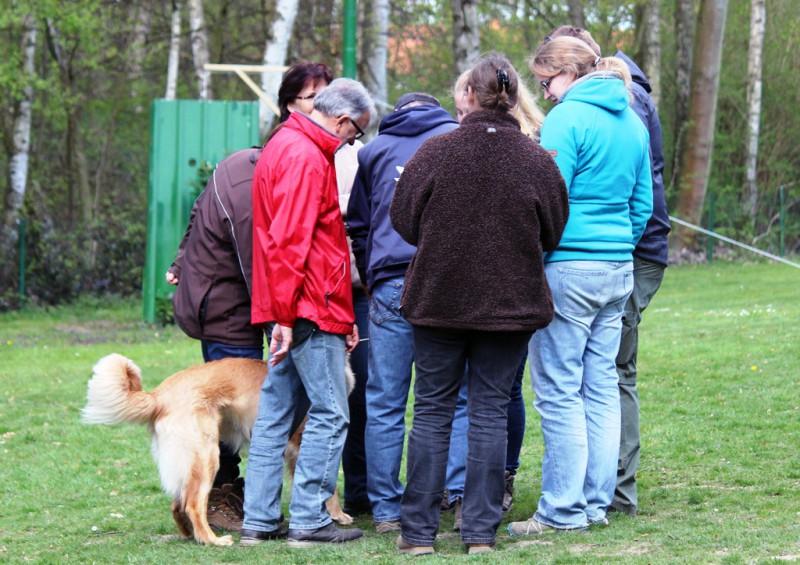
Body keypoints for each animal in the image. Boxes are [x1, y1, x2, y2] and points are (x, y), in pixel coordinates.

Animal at [82, 353, 355, 546]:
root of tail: (158, 395)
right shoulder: (310, 438)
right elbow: (328, 484)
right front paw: (336, 515)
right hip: (206, 456)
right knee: (192, 503)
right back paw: (211, 540)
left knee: (178, 504)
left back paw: (190, 534)